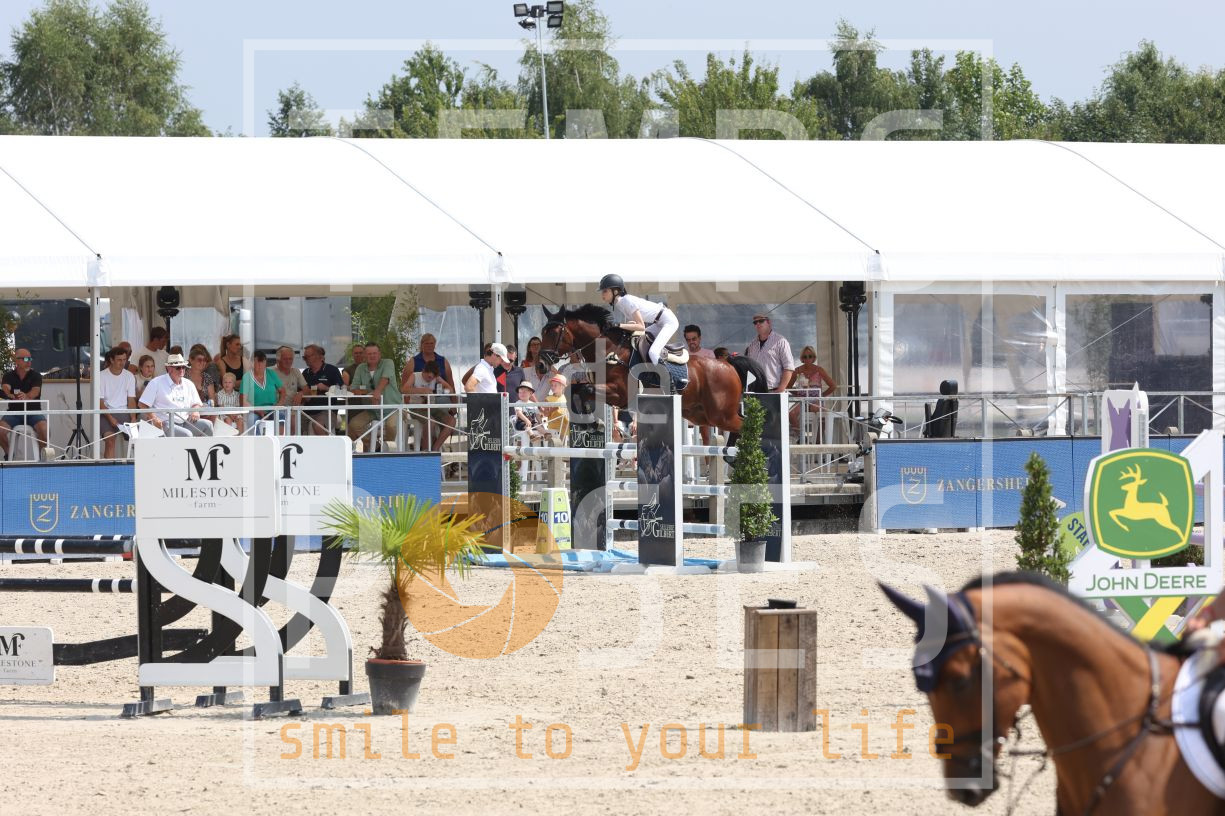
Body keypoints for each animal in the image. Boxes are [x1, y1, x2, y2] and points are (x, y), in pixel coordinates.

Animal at [538, 304, 764, 438]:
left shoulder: (620, 393)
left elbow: (586, 391)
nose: (540, 364)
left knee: (748, 427)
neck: (609, 350)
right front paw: (590, 424)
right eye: (543, 331)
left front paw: (596, 424)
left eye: (554, 333)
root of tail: (728, 364)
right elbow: (575, 391)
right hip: (700, 414)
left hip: (721, 415)